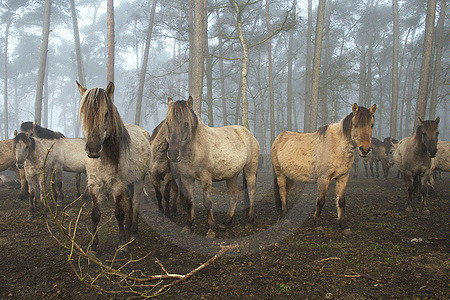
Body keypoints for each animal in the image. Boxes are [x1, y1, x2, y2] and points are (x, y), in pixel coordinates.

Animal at [77, 80, 153, 253]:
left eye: (106, 114)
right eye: (84, 114)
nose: (93, 149)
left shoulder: (117, 184)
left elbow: (119, 212)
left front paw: (122, 244)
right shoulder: (94, 184)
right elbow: (95, 214)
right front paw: (93, 246)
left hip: (139, 180)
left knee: (135, 203)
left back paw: (133, 233)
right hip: (128, 182)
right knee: (130, 203)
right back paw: (128, 228)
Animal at [164, 95, 260, 237]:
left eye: (186, 123)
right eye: (168, 124)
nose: (173, 154)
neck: (196, 147)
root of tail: (247, 133)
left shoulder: (206, 177)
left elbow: (207, 202)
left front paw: (210, 230)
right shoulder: (186, 178)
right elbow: (189, 201)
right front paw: (188, 226)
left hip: (250, 170)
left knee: (252, 191)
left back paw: (249, 221)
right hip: (231, 175)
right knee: (234, 194)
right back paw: (227, 221)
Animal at [270, 103, 376, 234]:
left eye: (372, 125)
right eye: (355, 124)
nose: (365, 150)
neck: (337, 146)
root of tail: (279, 139)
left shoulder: (343, 177)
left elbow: (341, 201)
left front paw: (343, 225)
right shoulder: (323, 179)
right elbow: (320, 201)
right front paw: (317, 224)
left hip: (290, 176)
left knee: (284, 192)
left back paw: (283, 215)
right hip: (280, 174)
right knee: (282, 192)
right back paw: (285, 218)